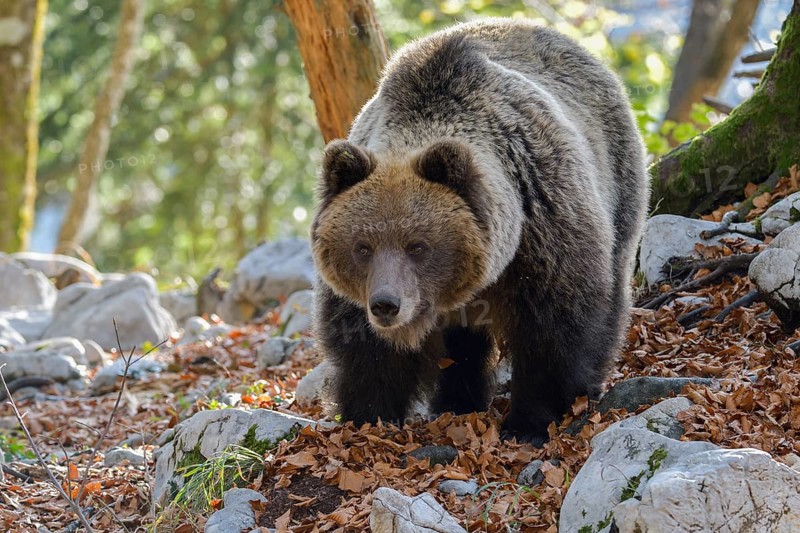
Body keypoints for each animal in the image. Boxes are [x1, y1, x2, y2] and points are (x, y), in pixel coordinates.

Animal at [310, 18, 649, 444]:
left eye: (417, 245)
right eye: (362, 246)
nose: (387, 304)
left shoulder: (543, 222)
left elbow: (554, 329)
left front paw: (530, 421)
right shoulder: (359, 296)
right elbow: (365, 349)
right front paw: (368, 418)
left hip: (617, 181)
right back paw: (457, 401)